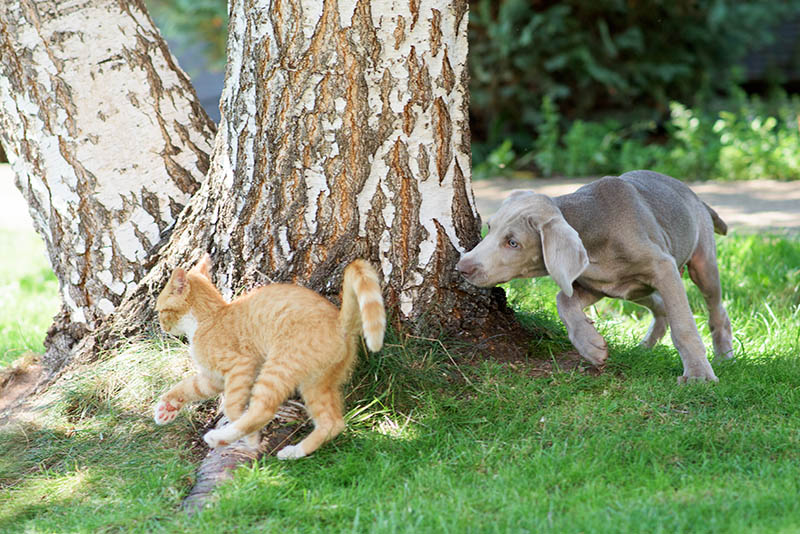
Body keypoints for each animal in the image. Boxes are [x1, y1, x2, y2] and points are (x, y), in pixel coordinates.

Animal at [154, 255, 388, 460]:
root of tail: (340, 323)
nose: (162, 327)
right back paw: (295, 452)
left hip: (278, 367)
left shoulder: (241, 366)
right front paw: (167, 407)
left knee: (263, 410)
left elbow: (232, 407)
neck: (207, 318)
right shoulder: (212, 379)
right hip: (317, 383)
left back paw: (221, 438)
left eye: (160, 311)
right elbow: (187, 386)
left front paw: (250, 439)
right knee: (333, 422)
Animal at [460, 170, 736, 384]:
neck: (593, 230)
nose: (463, 266)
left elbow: (684, 326)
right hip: (635, 289)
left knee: (716, 310)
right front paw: (591, 346)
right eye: (489, 227)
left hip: (701, 264)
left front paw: (698, 374)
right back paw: (645, 347)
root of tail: (695, 196)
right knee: (659, 306)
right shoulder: (595, 285)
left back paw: (724, 355)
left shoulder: (663, 268)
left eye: (513, 243)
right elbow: (563, 300)